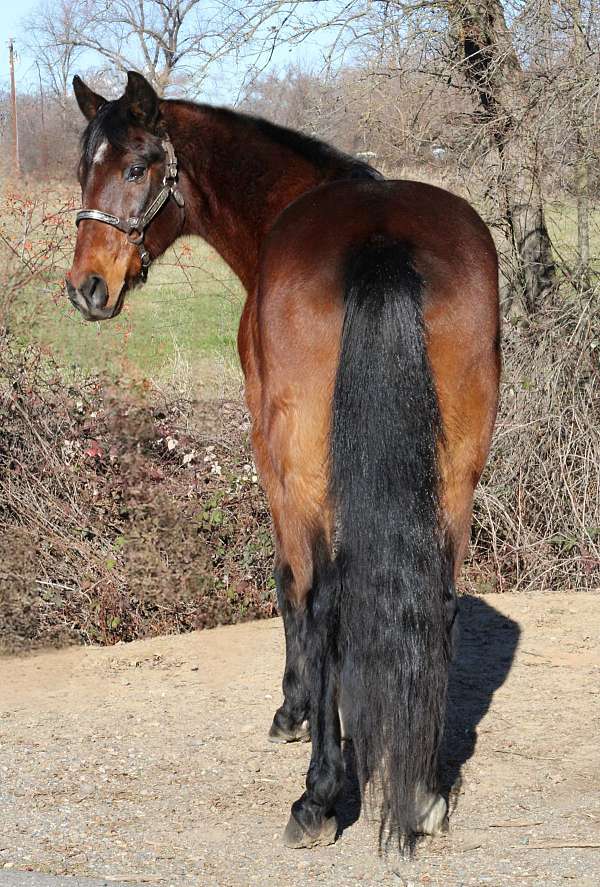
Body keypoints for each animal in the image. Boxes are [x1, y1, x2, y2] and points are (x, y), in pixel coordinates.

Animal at [67, 74, 502, 852]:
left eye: (138, 167)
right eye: (83, 166)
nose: (86, 287)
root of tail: (382, 239)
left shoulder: (270, 454)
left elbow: (288, 584)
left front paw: (293, 711)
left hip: (307, 468)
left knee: (324, 602)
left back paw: (318, 797)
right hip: (456, 471)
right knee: (441, 600)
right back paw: (423, 787)